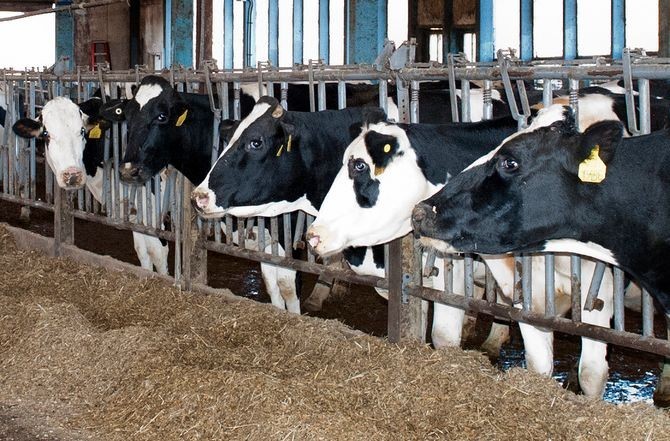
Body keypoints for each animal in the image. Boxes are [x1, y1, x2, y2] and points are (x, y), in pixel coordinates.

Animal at [11, 96, 171, 276]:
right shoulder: (135, 215)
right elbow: (143, 253)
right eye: (46, 134)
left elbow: (158, 253)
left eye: (82, 130)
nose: (72, 175)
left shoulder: (154, 211)